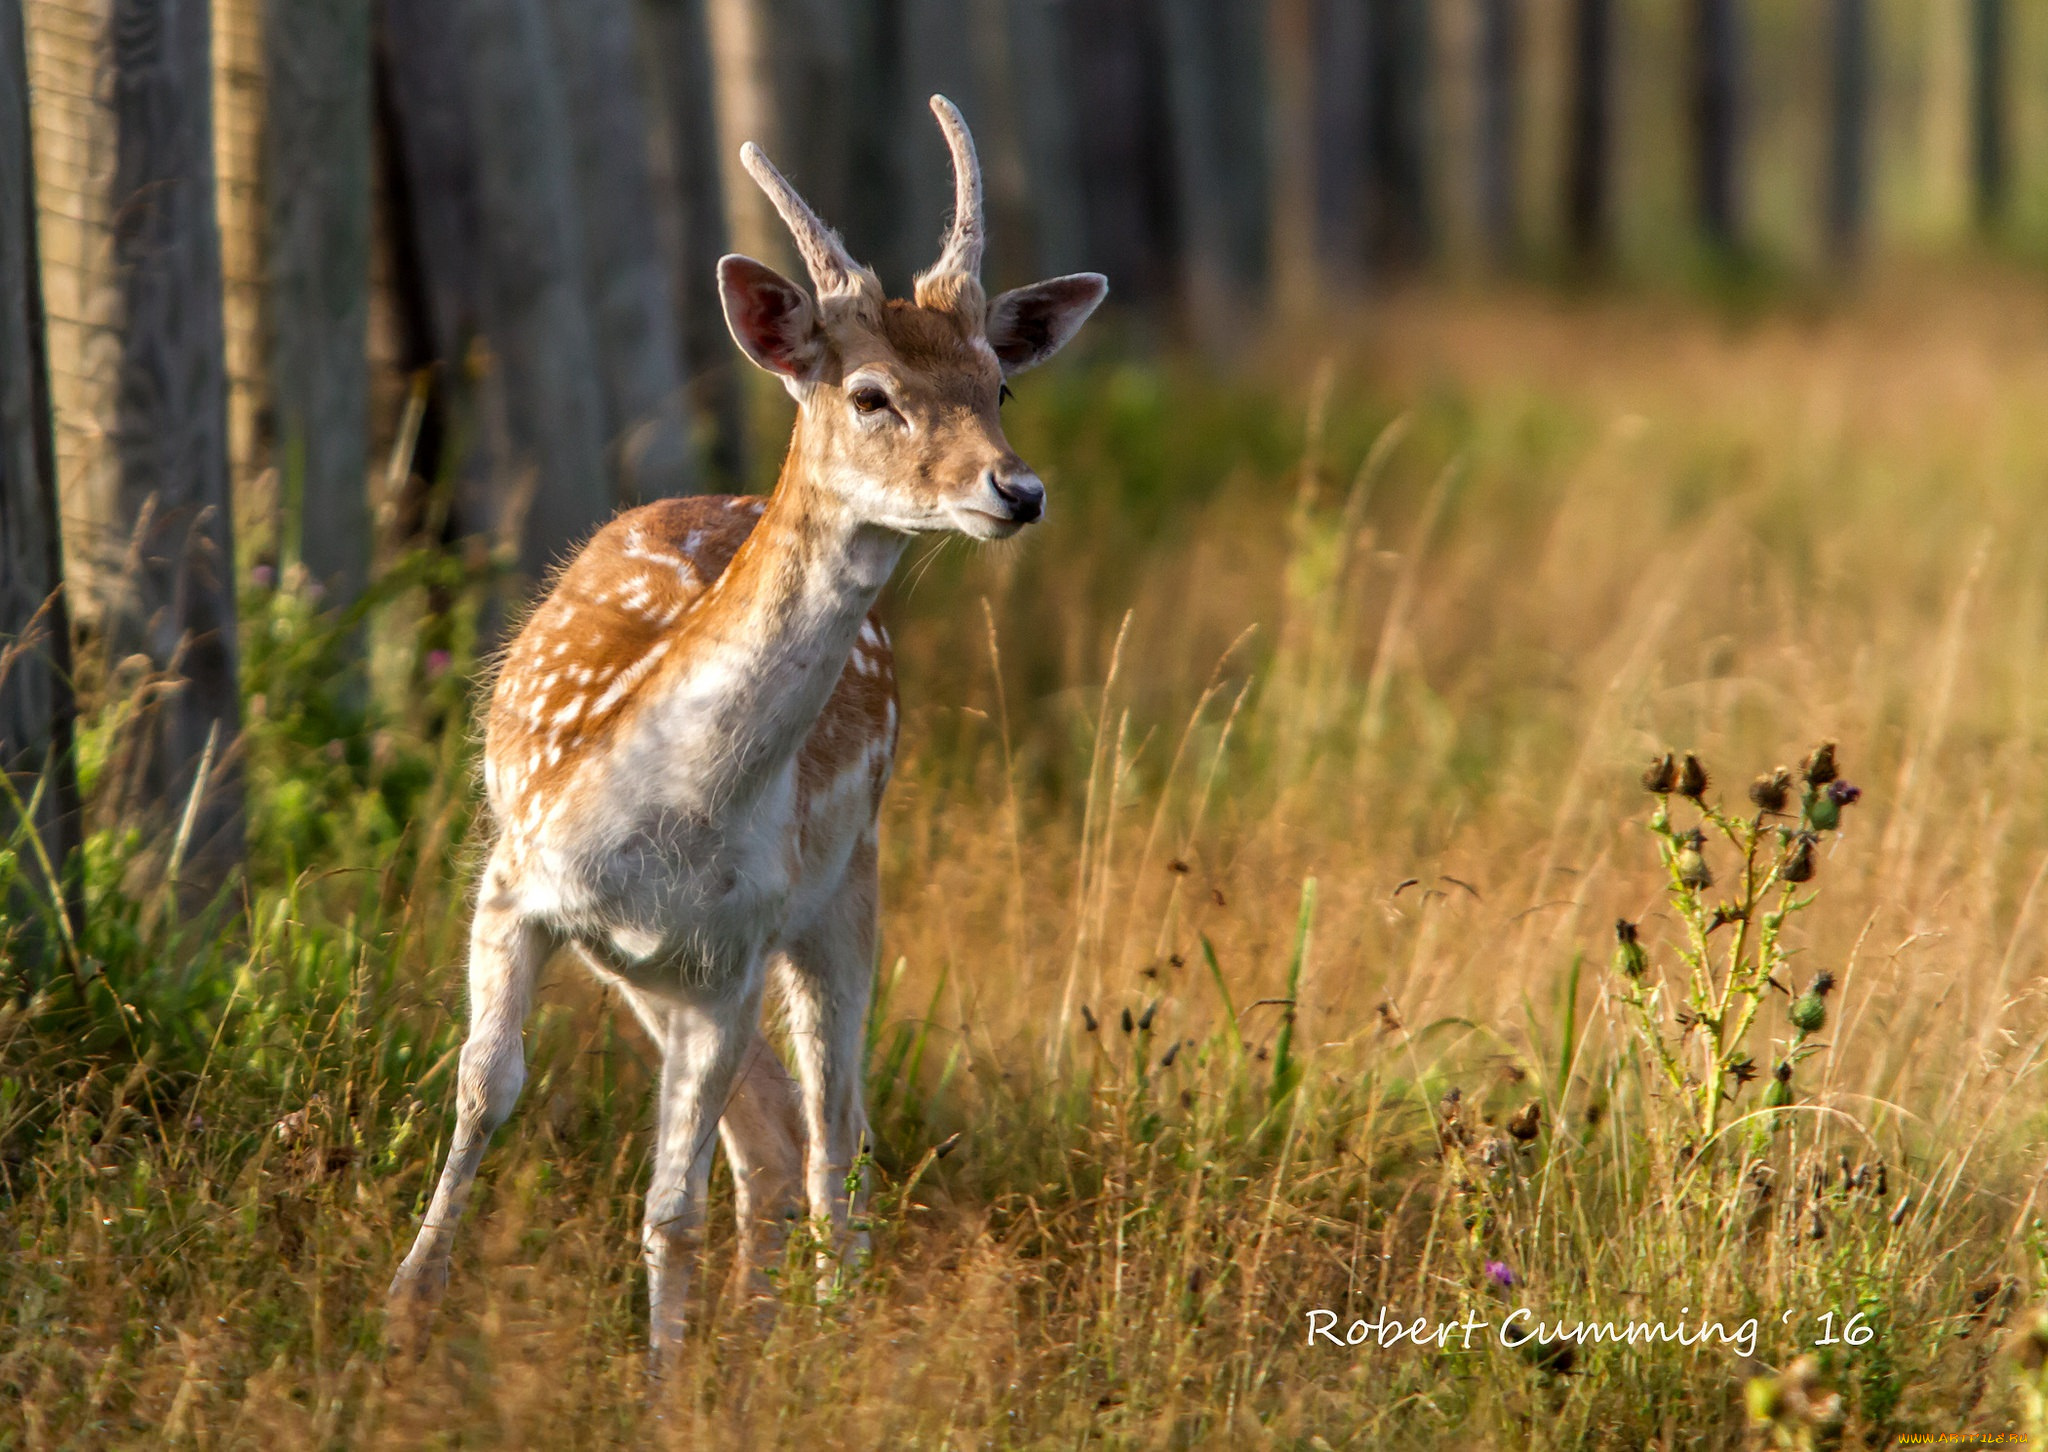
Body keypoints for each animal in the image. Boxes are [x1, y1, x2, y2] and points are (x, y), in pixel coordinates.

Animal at [382, 93, 1105, 1359]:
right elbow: (483, 1090)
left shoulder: (729, 954)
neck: (666, 810)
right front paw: (406, 1311)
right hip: (649, 969)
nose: (1015, 491)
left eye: (997, 386)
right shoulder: (517, 883)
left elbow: (670, 1206)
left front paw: (664, 1379)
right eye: (871, 393)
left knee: (826, 1137)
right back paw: (770, 1329)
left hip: (842, 889)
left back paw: (822, 1330)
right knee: (771, 1135)